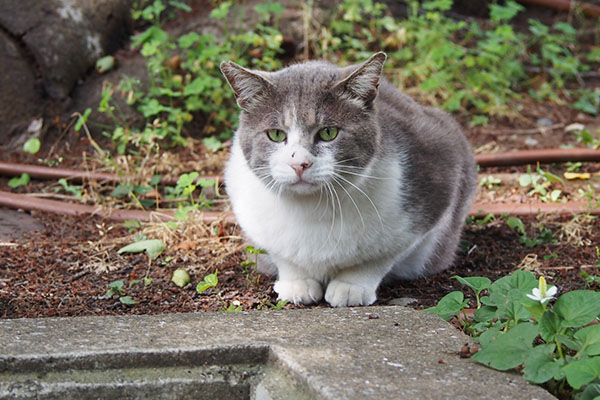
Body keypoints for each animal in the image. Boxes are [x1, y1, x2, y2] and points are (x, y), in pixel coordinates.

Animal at [220, 50, 478, 306]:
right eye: (275, 134)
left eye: (328, 132)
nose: (299, 163)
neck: (313, 211)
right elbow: (284, 256)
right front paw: (297, 283)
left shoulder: (434, 190)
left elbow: (378, 258)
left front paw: (351, 287)